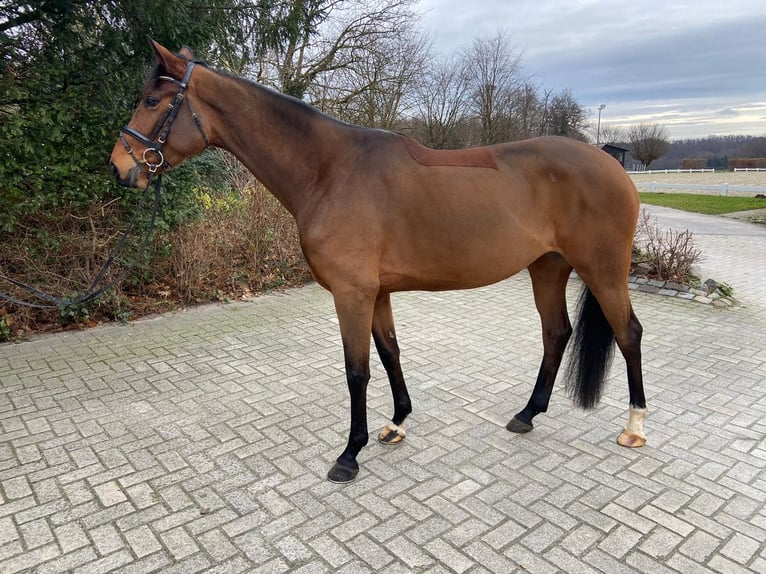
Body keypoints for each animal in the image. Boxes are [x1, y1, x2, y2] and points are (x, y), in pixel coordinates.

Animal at [108, 39, 648, 486]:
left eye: (153, 101)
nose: (120, 167)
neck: (330, 171)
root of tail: (611, 165)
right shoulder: (378, 291)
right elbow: (389, 353)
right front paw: (395, 423)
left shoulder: (352, 293)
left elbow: (356, 371)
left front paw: (350, 455)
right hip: (548, 267)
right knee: (557, 332)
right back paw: (527, 414)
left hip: (602, 270)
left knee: (628, 334)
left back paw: (635, 427)